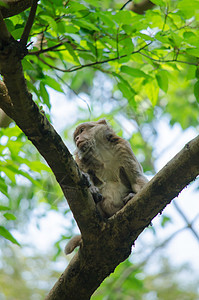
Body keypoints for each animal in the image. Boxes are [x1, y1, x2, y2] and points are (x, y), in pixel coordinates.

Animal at [64, 118, 148, 254]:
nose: (77, 138)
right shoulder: (80, 158)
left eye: (82, 130)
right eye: (76, 135)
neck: (100, 151)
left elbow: (136, 179)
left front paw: (132, 195)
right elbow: (81, 176)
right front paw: (91, 188)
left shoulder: (123, 147)